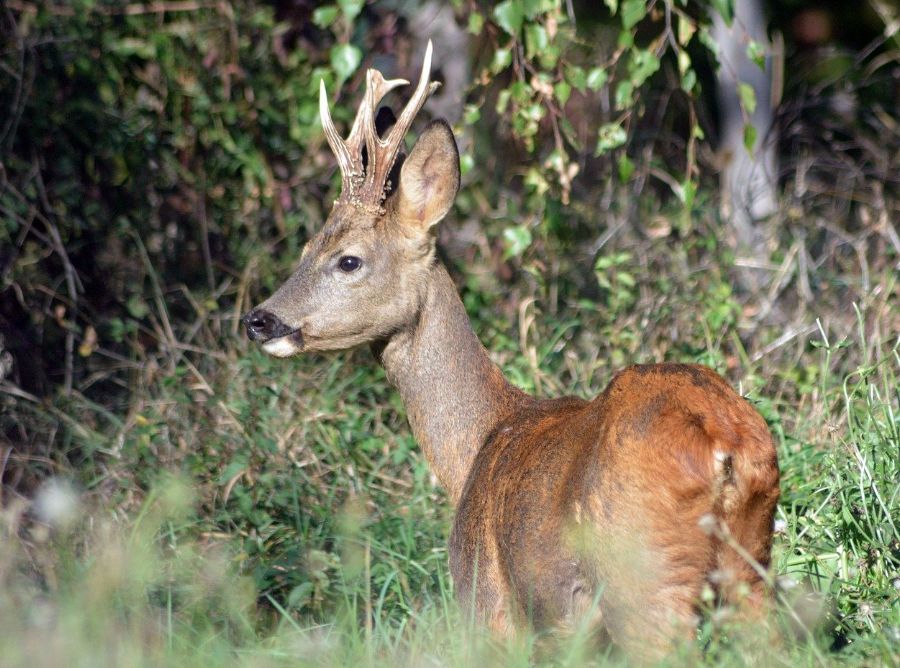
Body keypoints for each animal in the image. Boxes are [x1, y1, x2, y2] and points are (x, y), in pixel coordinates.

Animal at [244, 43, 780, 664]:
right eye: (308, 246)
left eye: (348, 259)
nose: (259, 319)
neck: (476, 445)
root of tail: (727, 447)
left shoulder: (490, 605)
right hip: (750, 565)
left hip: (644, 575)